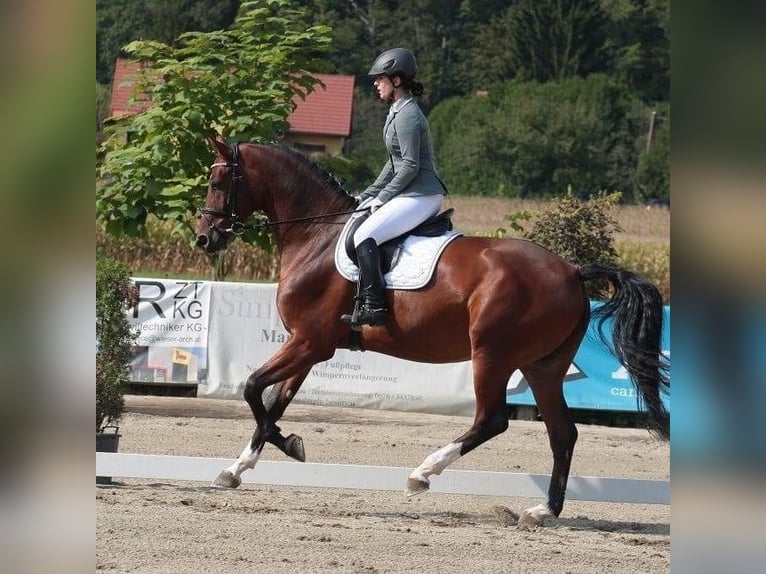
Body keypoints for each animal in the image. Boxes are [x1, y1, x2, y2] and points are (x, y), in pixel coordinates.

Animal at [195, 137, 668, 528]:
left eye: (218, 180)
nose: (204, 239)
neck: (316, 236)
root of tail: (571, 271)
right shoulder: (309, 347)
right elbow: (273, 402)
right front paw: (239, 468)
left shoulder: (309, 342)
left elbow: (253, 389)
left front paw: (288, 445)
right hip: (543, 367)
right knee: (562, 432)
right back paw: (543, 510)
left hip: (492, 355)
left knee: (492, 419)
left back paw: (422, 474)